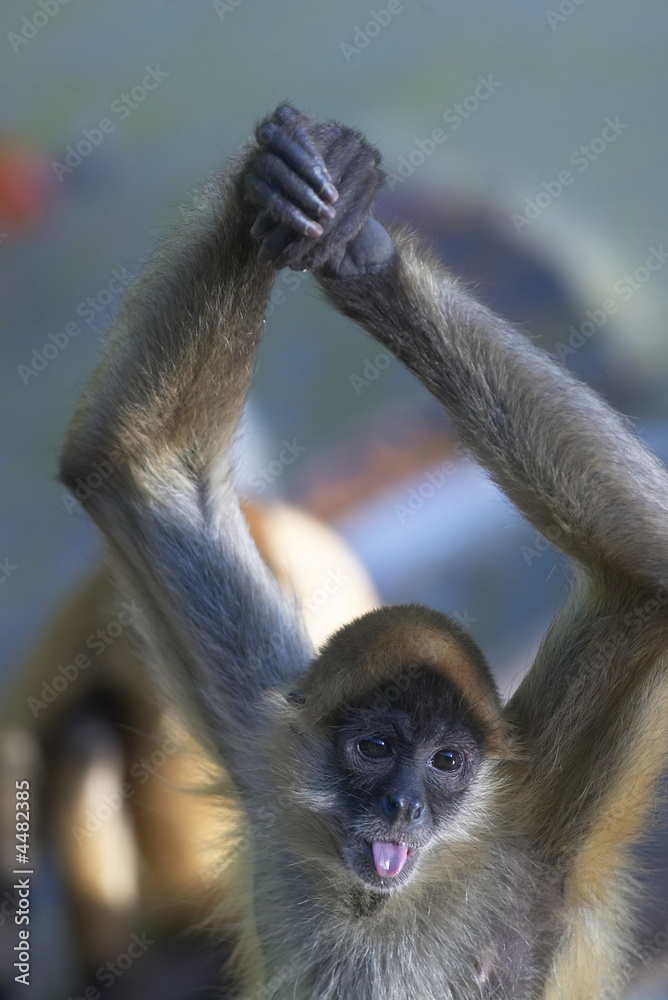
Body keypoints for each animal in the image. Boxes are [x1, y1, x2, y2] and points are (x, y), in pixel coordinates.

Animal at [57, 103, 668, 999]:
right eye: (375, 748)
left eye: (446, 762)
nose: (405, 806)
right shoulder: (263, 742)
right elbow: (138, 465)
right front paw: (289, 189)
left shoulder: (535, 822)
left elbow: (649, 571)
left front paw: (363, 249)